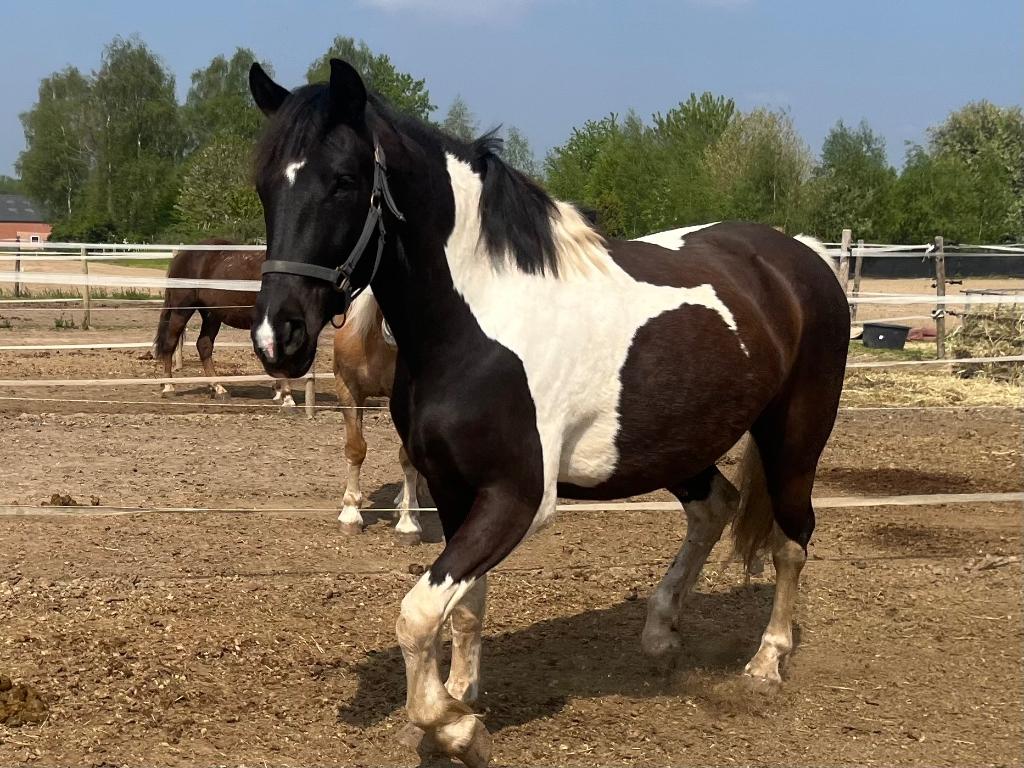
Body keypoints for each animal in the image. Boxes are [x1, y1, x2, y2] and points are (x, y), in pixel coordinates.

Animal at [152, 239, 294, 406]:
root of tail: (181, 256)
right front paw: (286, 397)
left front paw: (279, 393)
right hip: (181, 310)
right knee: (170, 343)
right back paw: (169, 387)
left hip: (212, 315)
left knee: (204, 345)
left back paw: (218, 388)